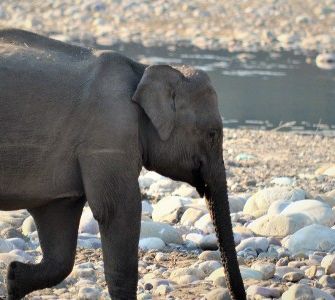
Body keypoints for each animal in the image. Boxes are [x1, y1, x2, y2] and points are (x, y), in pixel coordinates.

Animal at [0, 28, 247, 300]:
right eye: (212, 134)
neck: (143, 70)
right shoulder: (108, 135)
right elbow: (118, 209)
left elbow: (59, 238)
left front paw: (14, 278)